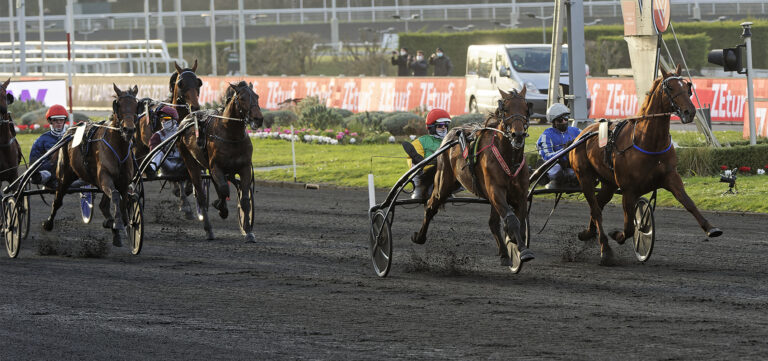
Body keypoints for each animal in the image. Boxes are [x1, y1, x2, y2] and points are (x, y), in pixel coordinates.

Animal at [43, 84, 140, 248]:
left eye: (135, 104)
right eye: (118, 104)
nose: (129, 130)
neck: (118, 148)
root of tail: (71, 129)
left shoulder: (123, 182)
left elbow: (122, 202)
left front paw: (123, 225)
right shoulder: (105, 178)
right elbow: (115, 196)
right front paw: (118, 224)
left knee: (104, 204)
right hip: (64, 175)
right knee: (57, 200)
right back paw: (48, 223)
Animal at [177, 79, 264, 242]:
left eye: (257, 96)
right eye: (242, 98)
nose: (258, 119)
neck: (230, 135)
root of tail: (186, 119)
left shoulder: (244, 168)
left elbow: (244, 200)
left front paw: (248, 232)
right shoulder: (216, 167)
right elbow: (223, 189)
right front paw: (220, 206)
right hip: (190, 162)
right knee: (201, 195)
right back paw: (209, 230)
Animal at [414, 87, 536, 268]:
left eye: (526, 109)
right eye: (505, 109)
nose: (518, 135)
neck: (508, 158)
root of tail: (451, 133)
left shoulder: (519, 194)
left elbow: (518, 222)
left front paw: (517, 246)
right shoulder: (496, 191)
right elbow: (512, 220)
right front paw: (522, 249)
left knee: (493, 223)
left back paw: (504, 254)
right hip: (443, 183)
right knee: (430, 206)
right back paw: (420, 237)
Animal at [568, 64, 724, 264]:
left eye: (688, 87)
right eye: (670, 87)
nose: (690, 112)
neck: (648, 141)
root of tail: (582, 133)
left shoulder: (670, 177)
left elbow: (688, 202)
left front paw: (710, 228)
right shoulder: (628, 189)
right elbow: (628, 228)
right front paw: (618, 235)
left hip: (608, 183)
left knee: (598, 205)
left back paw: (588, 232)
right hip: (585, 177)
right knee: (596, 210)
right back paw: (605, 249)